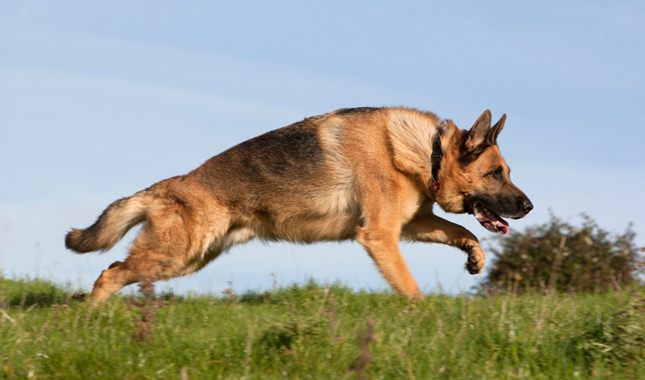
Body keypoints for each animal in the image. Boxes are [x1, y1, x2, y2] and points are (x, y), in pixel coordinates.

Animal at [65, 107, 532, 302]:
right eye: (496, 173)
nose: (528, 206)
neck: (425, 152)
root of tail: (166, 187)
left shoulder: (410, 224)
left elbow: (463, 231)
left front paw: (475, 258)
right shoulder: (381, 235)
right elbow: (412, 289)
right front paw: (427, 317)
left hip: (187, 259)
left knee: (114, 269)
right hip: (174, 255)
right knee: (109, 274)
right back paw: (90, 320)